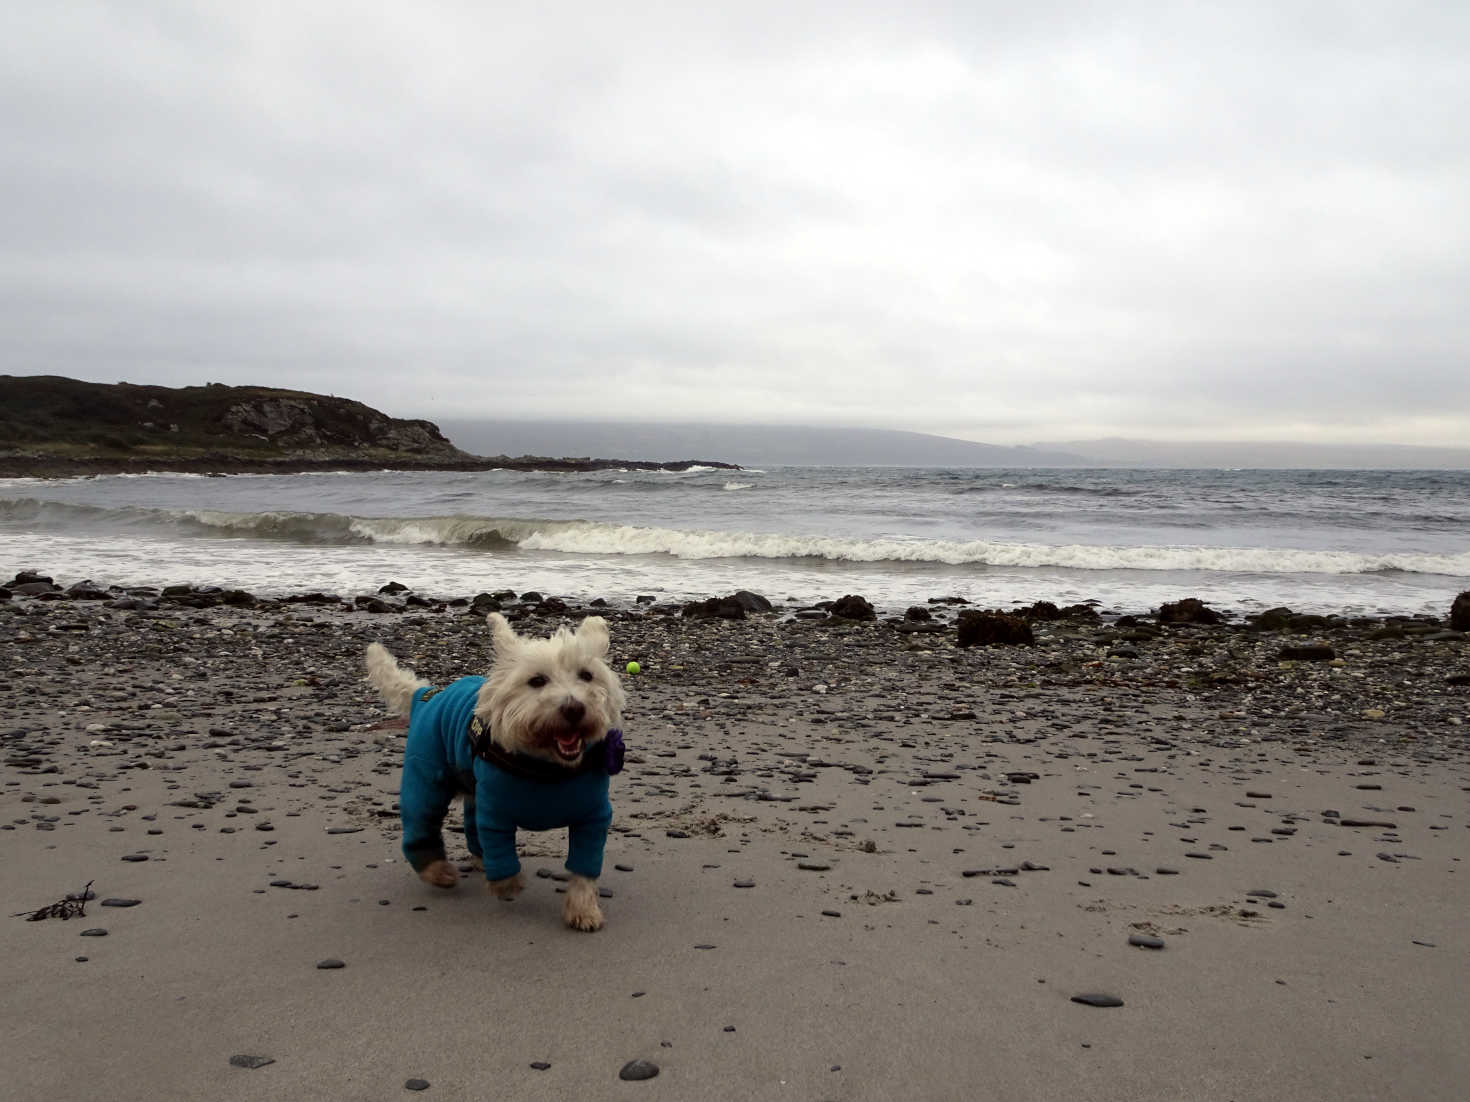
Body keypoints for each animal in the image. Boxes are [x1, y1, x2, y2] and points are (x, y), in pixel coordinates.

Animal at [366, 614, 626, 934]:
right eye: (537, 681)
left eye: (587, 675)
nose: (574, 708)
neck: (547, 768)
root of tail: (426, 694)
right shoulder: (494, 813)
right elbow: (500, 852)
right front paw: (507, 885)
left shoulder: (593, 818)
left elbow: (585, 864)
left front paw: (583, 910)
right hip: (426, 775)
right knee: (420, 821)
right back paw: (438, 871)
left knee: (469, 823)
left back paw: (478, 860)